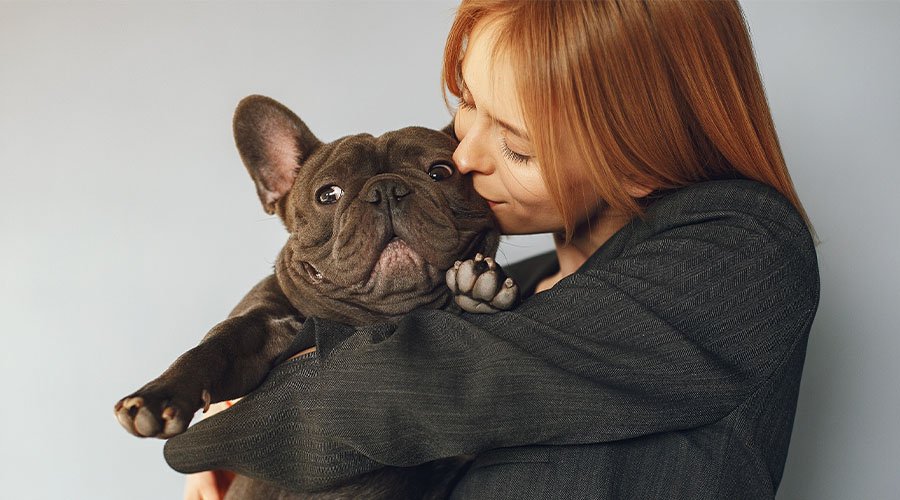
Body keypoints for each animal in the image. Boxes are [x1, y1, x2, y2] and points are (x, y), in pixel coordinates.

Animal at [116, 95, 516, 498]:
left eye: (441, 172)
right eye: (328, 195)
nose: (386, 189)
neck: (379, 318)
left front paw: (478, 287)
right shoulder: (259, 327)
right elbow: (213, 349)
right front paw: (159, 396)